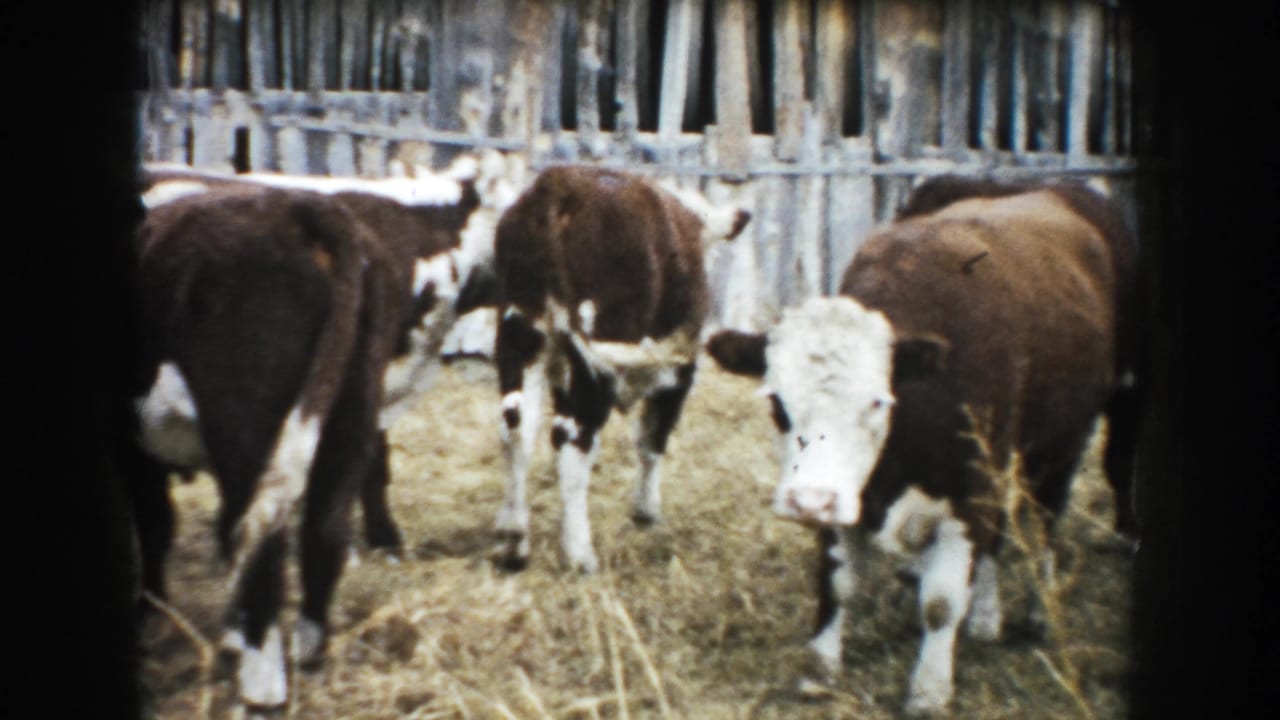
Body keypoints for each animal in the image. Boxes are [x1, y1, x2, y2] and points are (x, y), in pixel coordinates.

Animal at [491, 165, 752, 573]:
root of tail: (559, 184)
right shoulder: (678, 372)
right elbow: (653, 439)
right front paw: (645, 511)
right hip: (594, 366)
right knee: (572, 439)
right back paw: (580, 554)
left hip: (521, 337)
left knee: (516, 427)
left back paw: (512, 541)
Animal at [705, 176, 1142, 716]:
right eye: (776, 401)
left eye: (876, 401)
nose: (808, 501)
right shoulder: (850, 495)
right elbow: (838, 583)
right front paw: (821, 669)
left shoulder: (966, 495)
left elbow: (940, 601)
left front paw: (929, 690)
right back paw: (986, 619)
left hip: (1072, 436)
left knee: (1046, 517)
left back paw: (1039, 610)